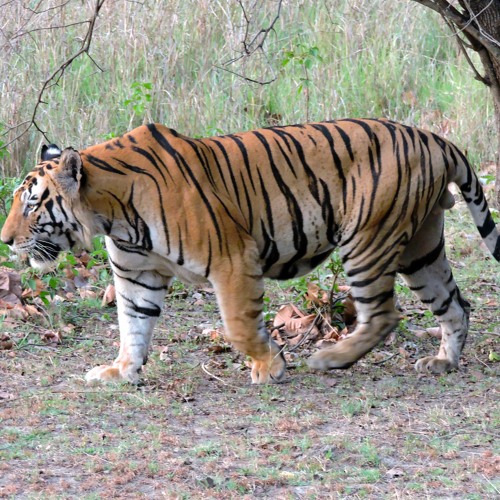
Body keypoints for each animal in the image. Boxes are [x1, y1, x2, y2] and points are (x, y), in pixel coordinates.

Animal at [1, 119, 498, 384]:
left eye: (31, 203)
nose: (5, 240)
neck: (112, 214)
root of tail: (436, 139)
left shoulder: (233, 259)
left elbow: (239, 326)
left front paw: (271, 365)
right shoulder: (136, 276)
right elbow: (132, 327)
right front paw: (121, 371)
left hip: (368, 241)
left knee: (384, 314)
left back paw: (330, 359)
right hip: (421, 249)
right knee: (456, 306)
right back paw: (443, 362)